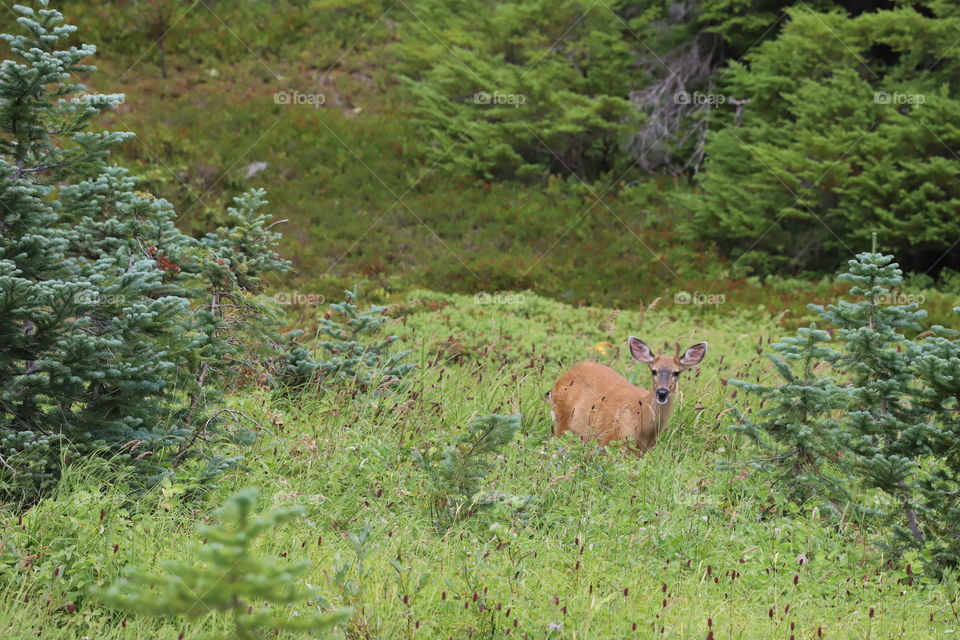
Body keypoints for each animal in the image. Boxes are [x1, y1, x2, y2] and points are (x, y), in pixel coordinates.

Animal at [548, 338, 704, 458]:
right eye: (653, 370)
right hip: (563, 421)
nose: (662, 392)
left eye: (676, 372)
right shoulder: (609, 441)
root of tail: (560, 380)